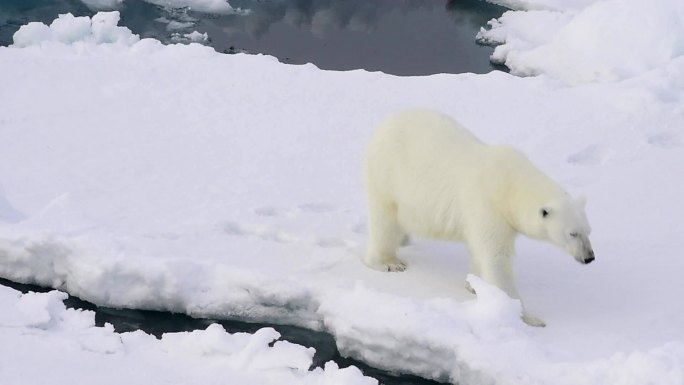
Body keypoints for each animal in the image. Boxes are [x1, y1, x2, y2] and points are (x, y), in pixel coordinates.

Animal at [364, 109, 592, 328]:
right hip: (387, 177)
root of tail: (383, 125)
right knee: (384, 221)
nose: (589, 257)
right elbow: (496, 257)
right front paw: (526, 316)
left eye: (588, 231)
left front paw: (475, 285)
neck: (508, 186)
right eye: (572, 233)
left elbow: (478, 250)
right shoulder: (487, 206)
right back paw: (389, 262)